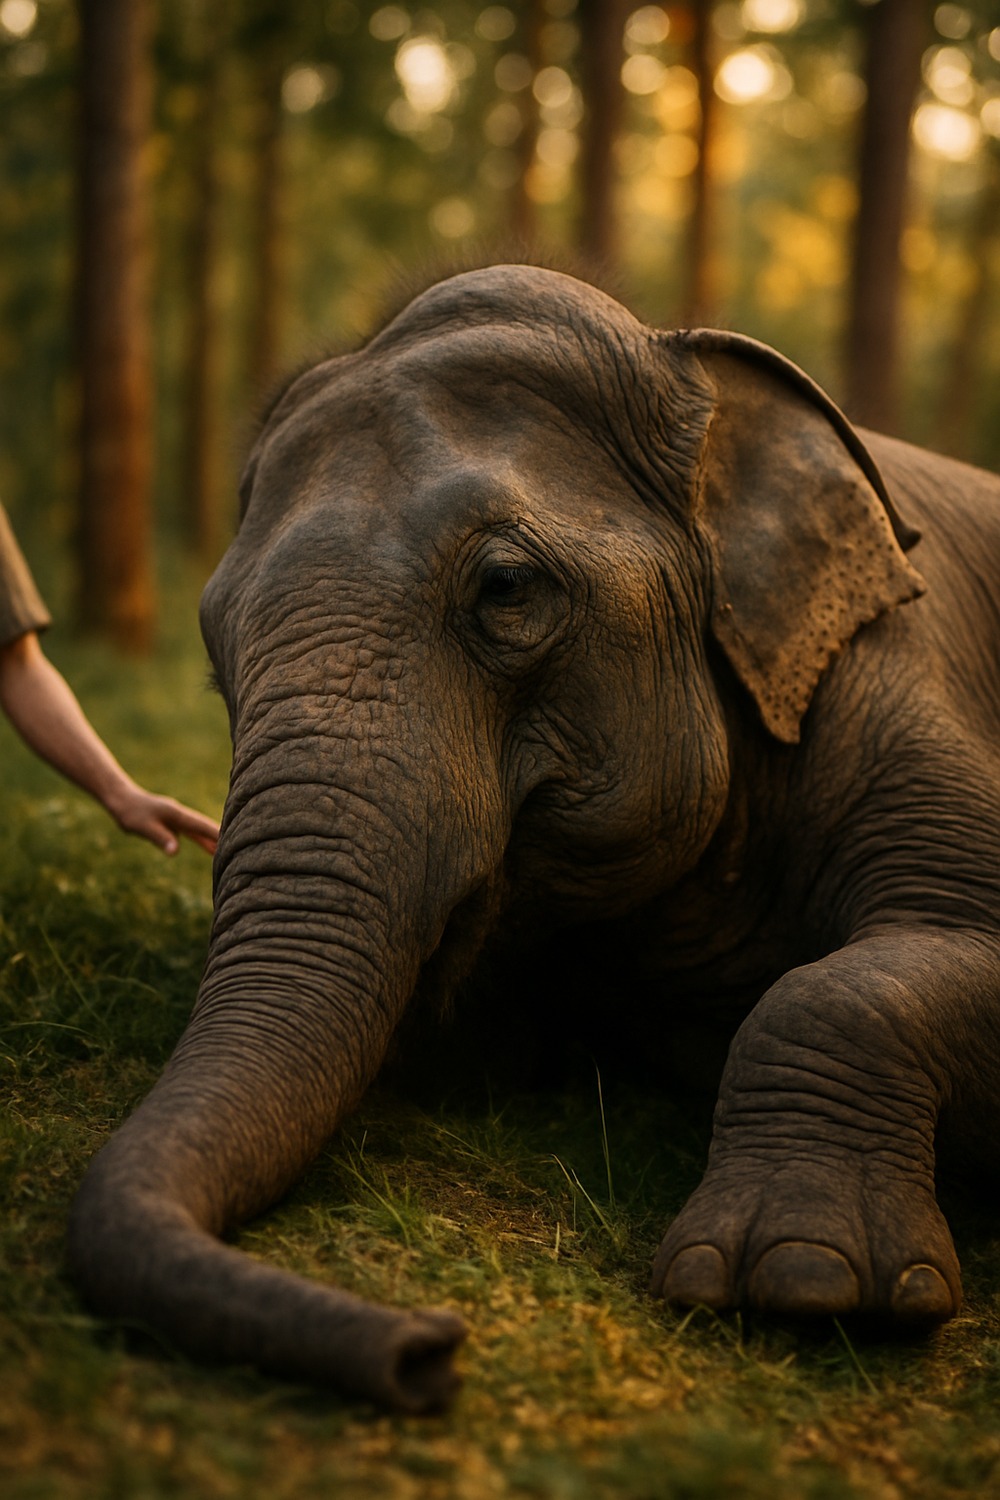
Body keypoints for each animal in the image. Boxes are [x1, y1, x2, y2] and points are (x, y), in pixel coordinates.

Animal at [68, 263, 1000, 1413]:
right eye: (213, 638)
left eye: (506, 590)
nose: (428, 1351)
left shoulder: (892, 681)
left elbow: (861, 978)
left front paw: (801, 1286)